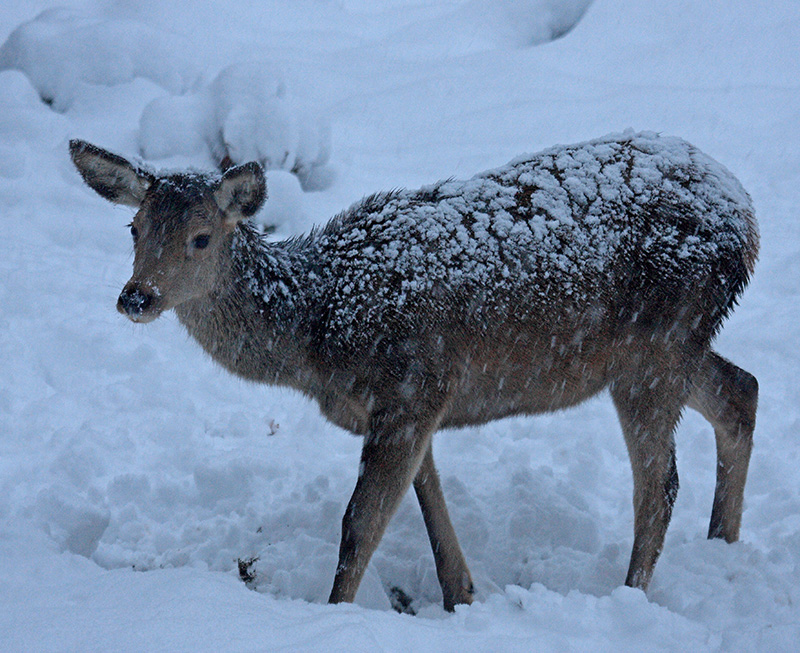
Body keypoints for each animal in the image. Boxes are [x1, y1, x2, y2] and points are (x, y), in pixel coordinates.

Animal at [67, 132, 756, 612]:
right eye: (134, 226)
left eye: (202, 237)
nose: (136, 297)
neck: (321, 332)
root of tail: (748, 219)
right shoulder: (413, 403)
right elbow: (426, 503)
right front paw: (461, 595)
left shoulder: (410, 388)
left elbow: (360, 524)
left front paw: (335, 614)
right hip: (666, 346)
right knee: (740, 390)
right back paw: (723, 547)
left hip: (657, 342)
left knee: (659, 484)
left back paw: (630, 593)